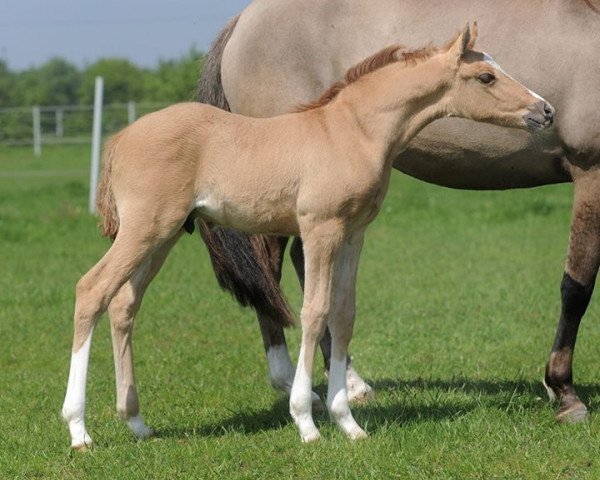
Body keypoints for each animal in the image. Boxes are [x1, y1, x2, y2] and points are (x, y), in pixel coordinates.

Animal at [195, 0, 596, 420]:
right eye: (486, 77)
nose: (545, 110)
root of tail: (242, 20)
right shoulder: (591, 171)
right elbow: (577, 287)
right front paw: (564, 392)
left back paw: (349, 384)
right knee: (268, 272)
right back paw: (292, 381)